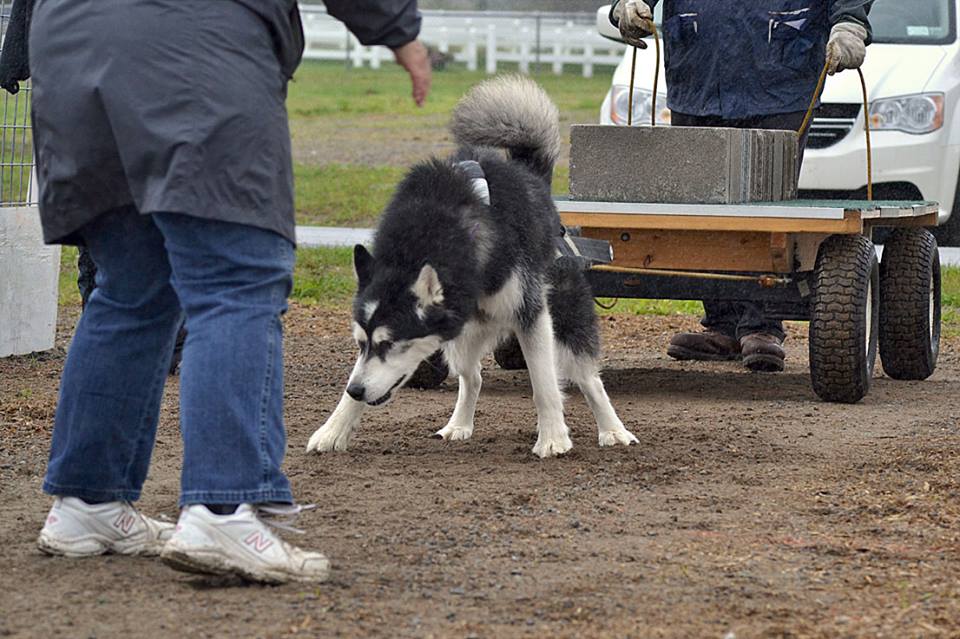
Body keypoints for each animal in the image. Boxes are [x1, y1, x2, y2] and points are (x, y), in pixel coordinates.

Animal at [308, 75, 636, 458]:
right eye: (361, 343)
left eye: (390, 343)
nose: (355, 390)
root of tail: (530, 176)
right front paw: (333, 429)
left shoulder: (531, 315)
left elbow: (543, 383)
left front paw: (553, 437)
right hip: (461, 343)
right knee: (472, 376)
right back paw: (459, 424)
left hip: (566, 322)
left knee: (588, 379)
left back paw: (613, 430)